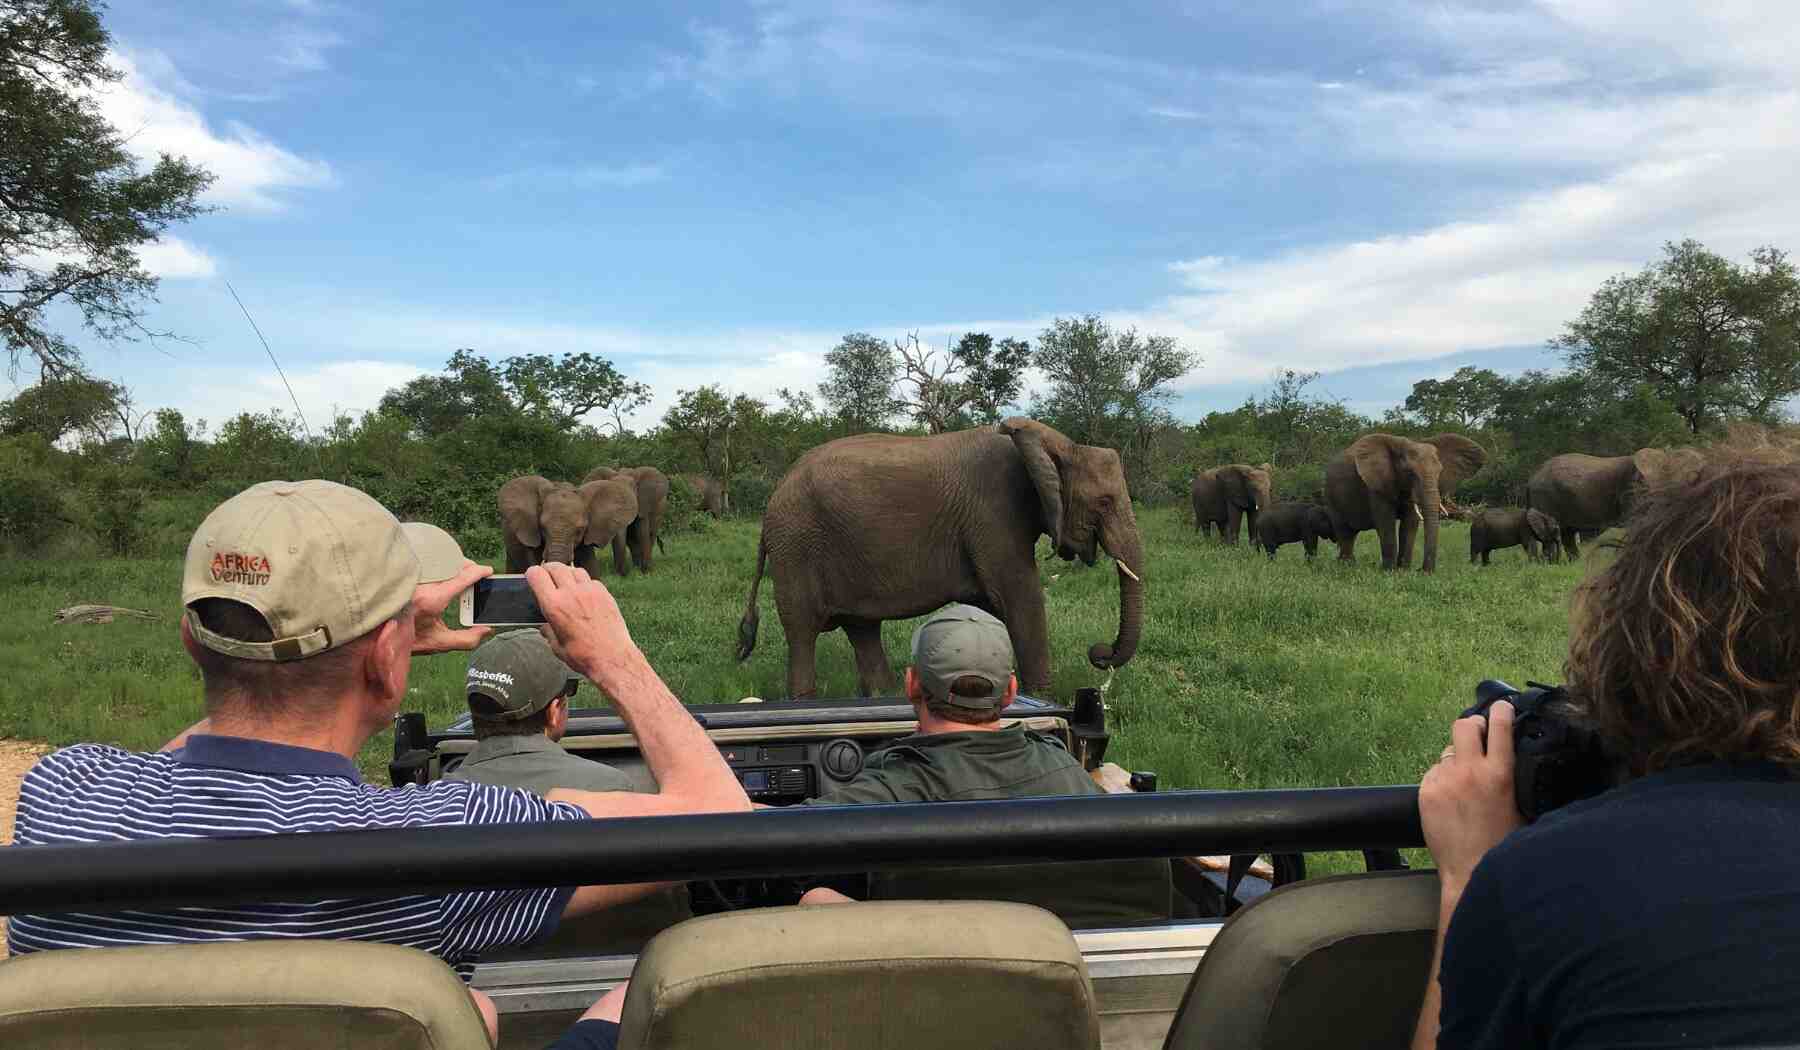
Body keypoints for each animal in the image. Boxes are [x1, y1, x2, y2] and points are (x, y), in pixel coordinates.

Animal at [738, 417, 1144, 698]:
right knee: (803, 629)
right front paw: (1043, 699)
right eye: (1104, 502)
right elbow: (1018, 596)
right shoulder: (994, 515)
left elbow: (992, 600)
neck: (1057, 444)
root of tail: (776, 492)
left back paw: (884, 695)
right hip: (797, 545)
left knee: (861, 627)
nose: (1099, 652)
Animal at [1324, 432, 1490, 572]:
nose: (1422, 571)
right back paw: (1346, 566)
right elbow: (1386, 522)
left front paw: (1404, 571)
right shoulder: (1377, 486)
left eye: (1440, 472)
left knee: (1351, 533)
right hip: (1331, 496)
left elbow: (1410, 522)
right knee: (1344, 531)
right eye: (1410, 473)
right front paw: (1389, 571)